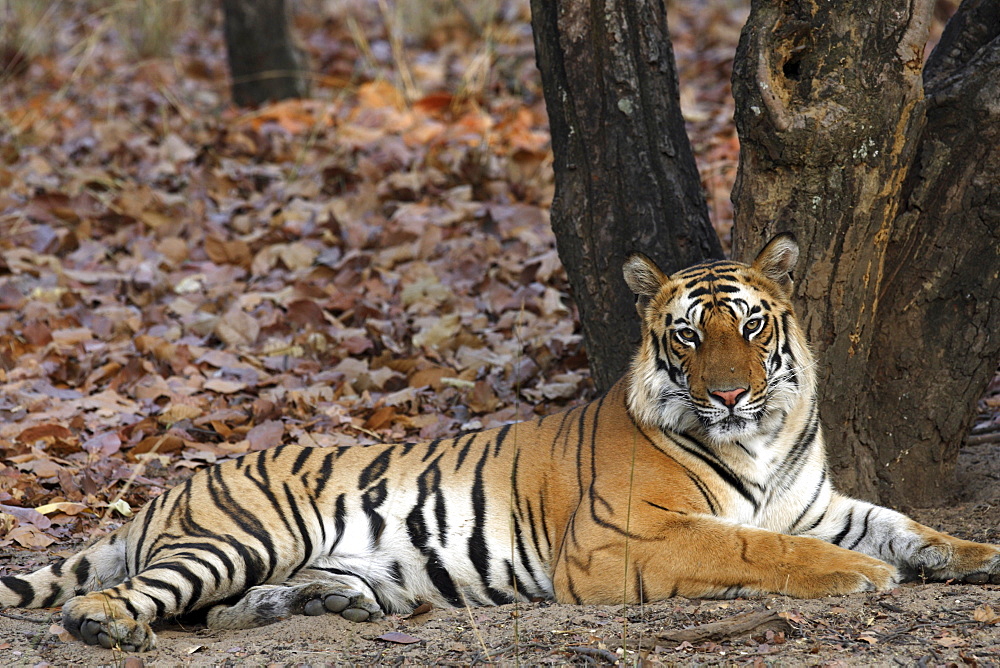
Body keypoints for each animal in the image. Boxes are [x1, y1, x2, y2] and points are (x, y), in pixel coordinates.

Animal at [1, 232, 1000, 648]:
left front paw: (974, 554)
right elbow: (754, 547)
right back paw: (104, 627)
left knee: (227, 609)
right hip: (241, 535)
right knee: (127, 596)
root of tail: (167, 489)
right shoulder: (622, 539)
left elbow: (904, 524)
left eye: (751, 327)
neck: (760, 439)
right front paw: (861, 578)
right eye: (688, 335)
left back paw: (333, 605)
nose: (727, 392)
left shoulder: (813, 503)